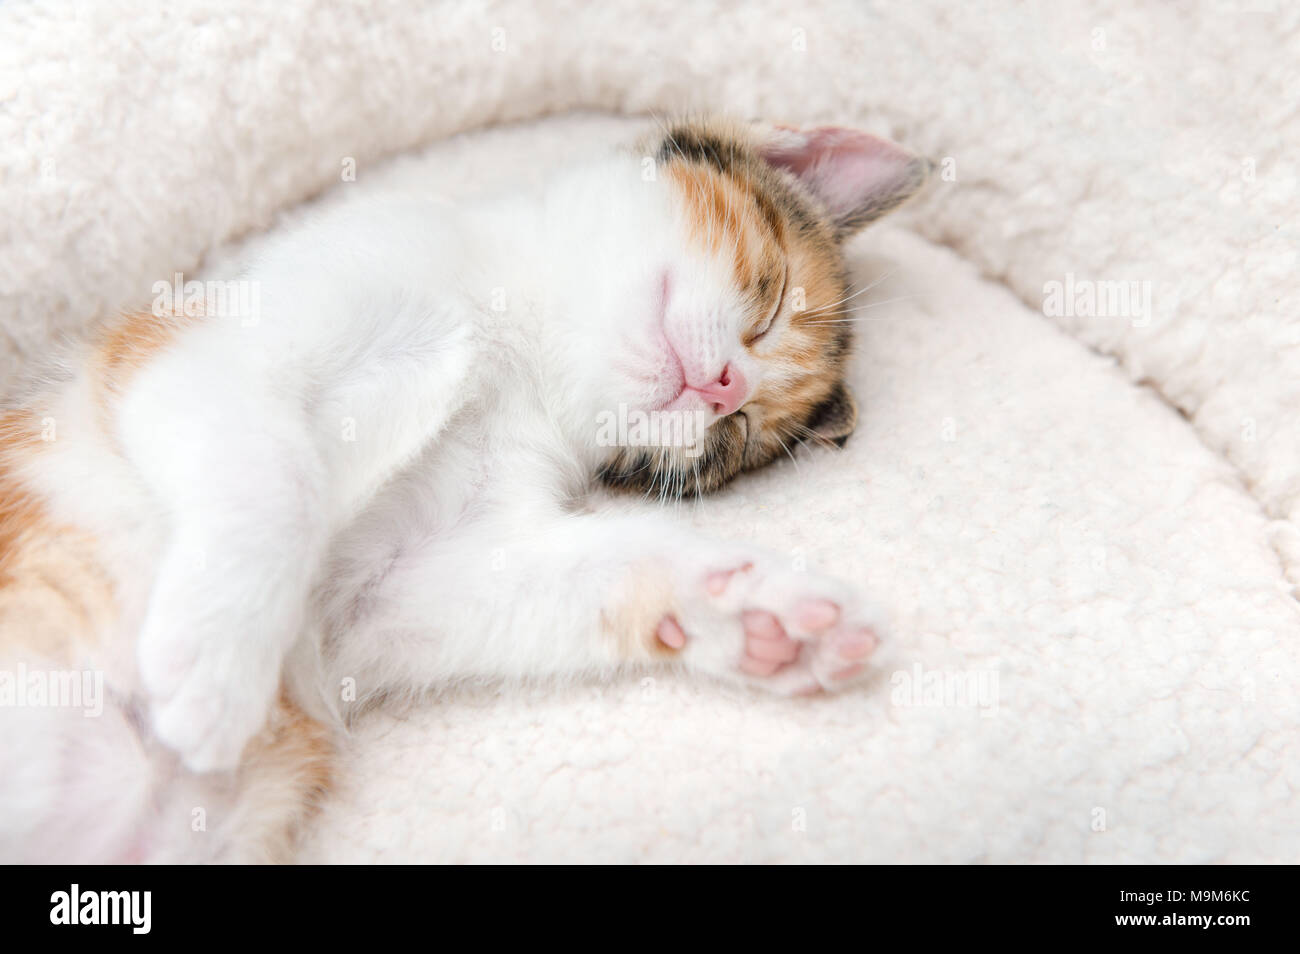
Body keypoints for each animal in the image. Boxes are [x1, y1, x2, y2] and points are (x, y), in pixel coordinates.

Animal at [2, 115, 935, 863]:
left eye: (731, 442)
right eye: (773, 303)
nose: (726, 388)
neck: (511, 345)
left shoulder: (389, 599)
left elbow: (576, 573)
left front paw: (765, 615)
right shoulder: (201, 346)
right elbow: (281, 474)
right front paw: (214, 670)